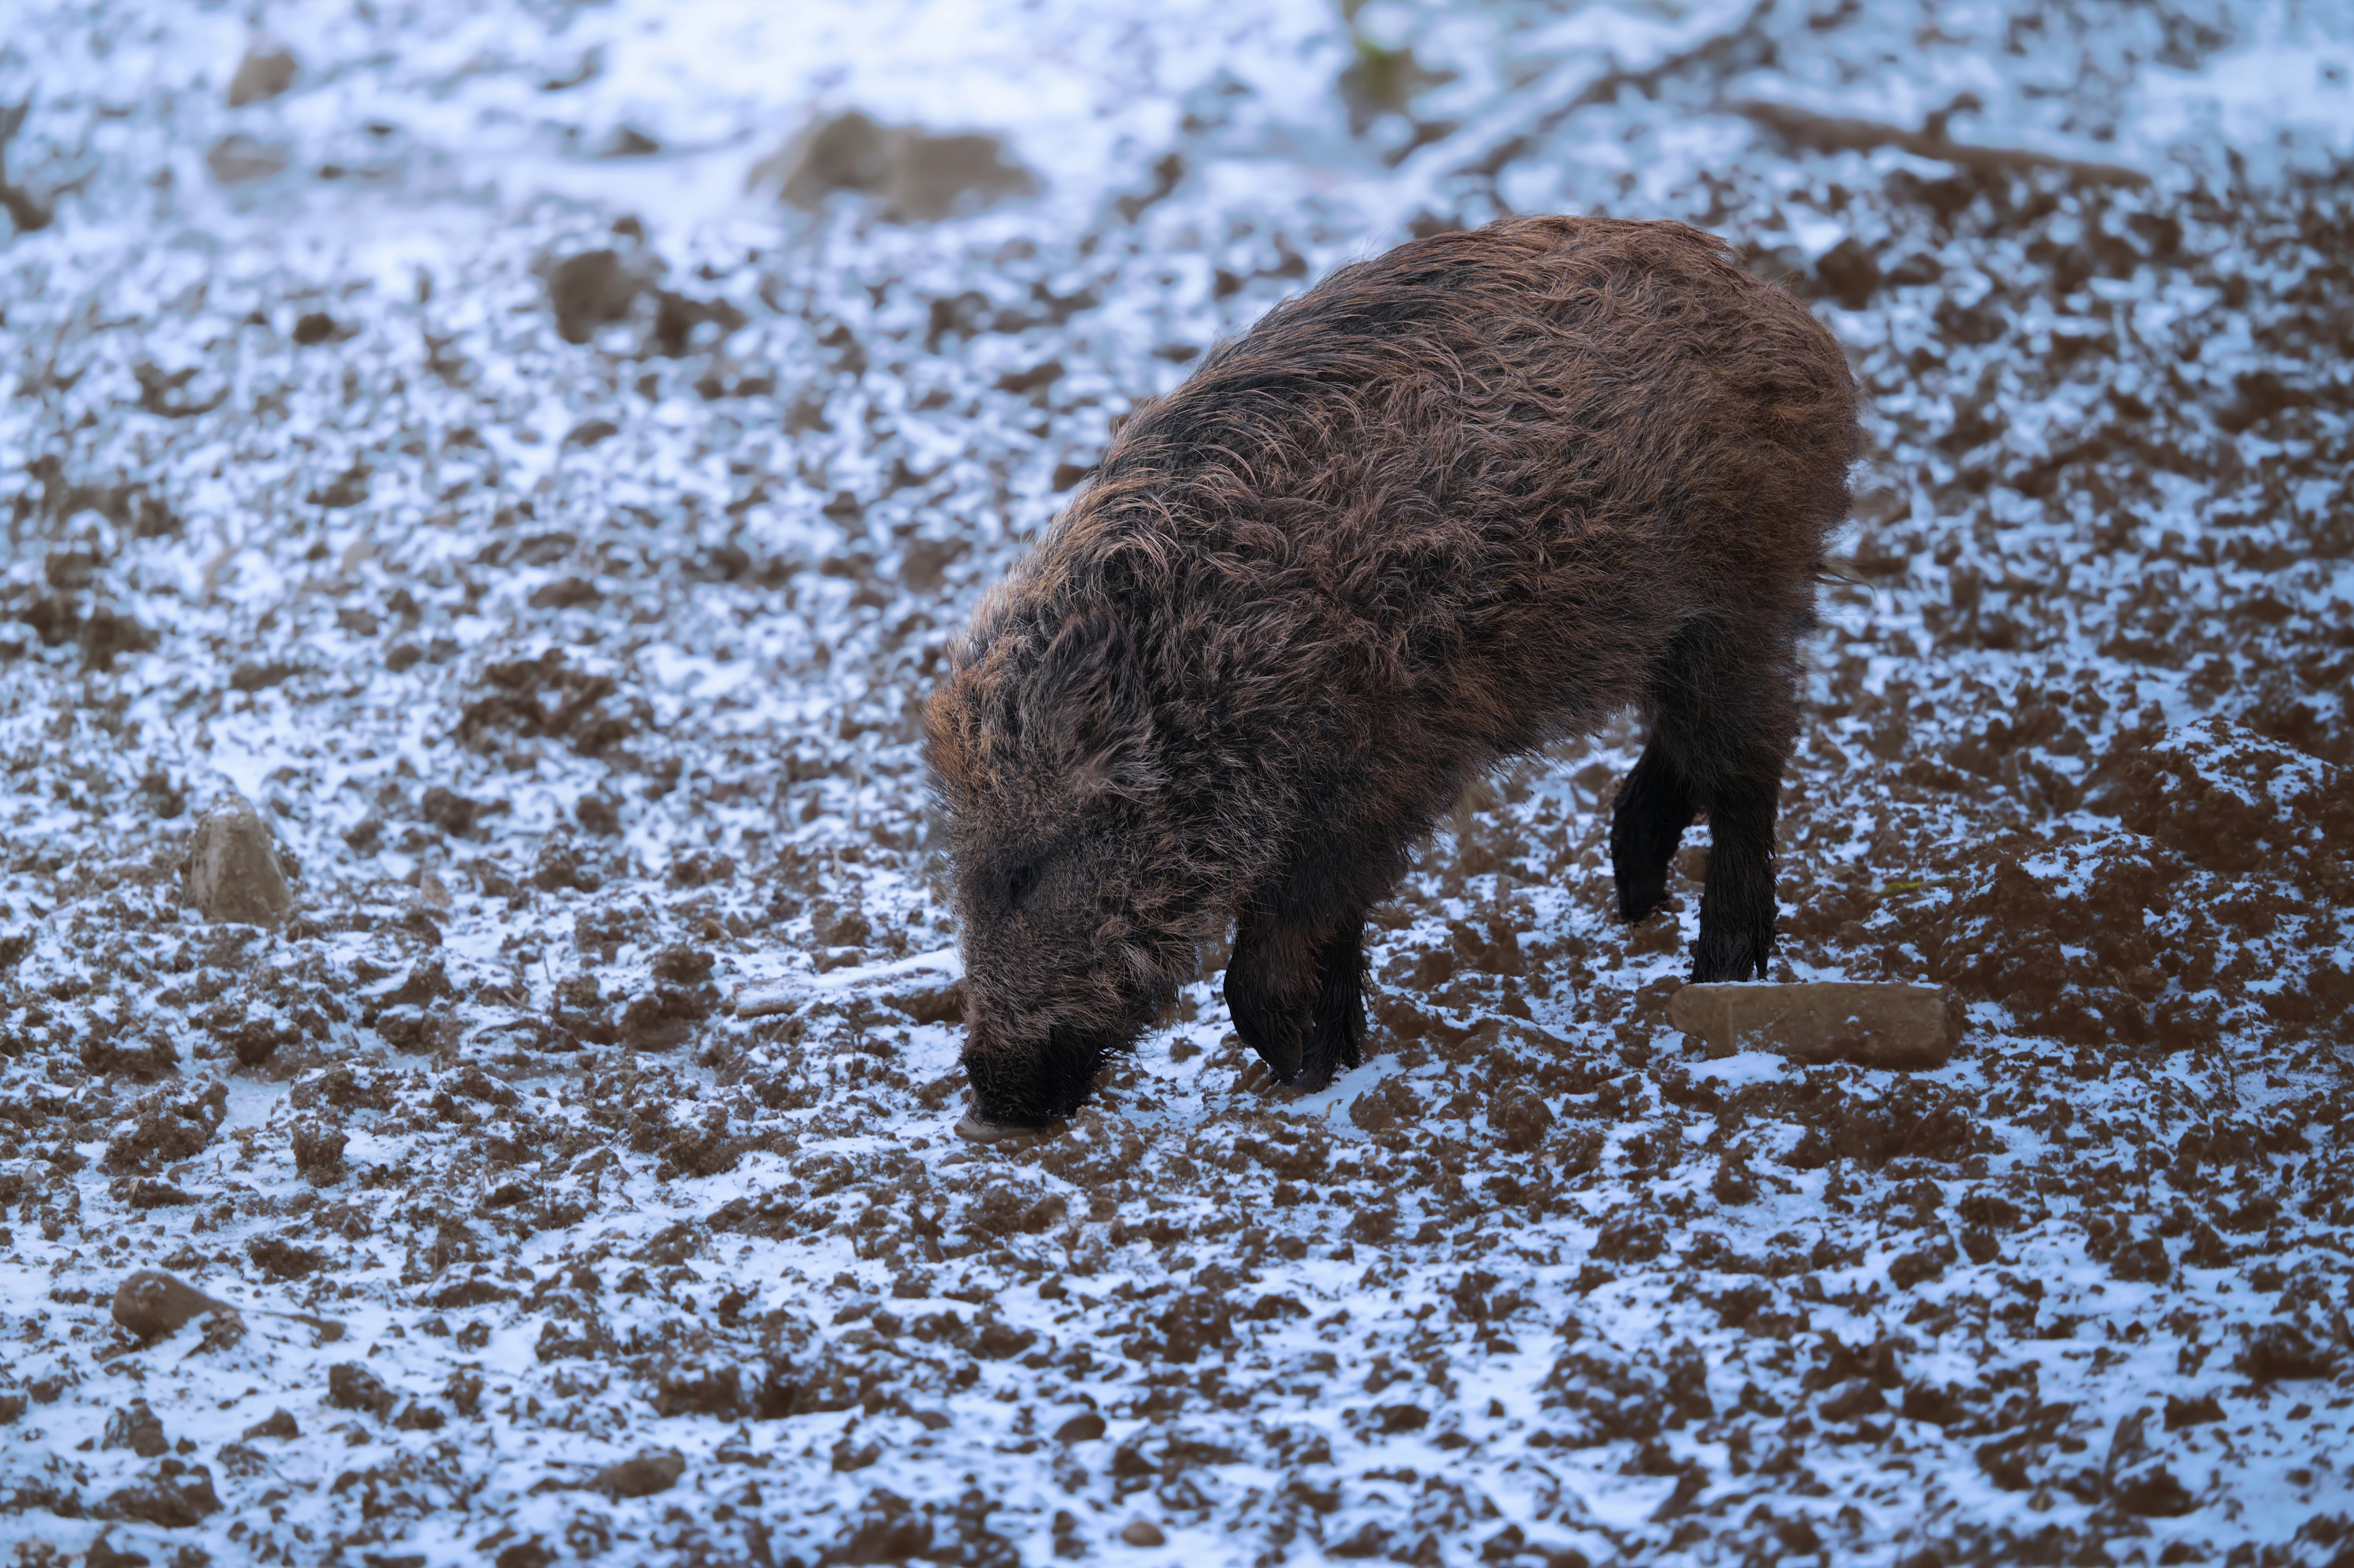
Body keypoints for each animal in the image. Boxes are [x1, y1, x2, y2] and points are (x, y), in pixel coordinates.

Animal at [924, 215, 1859, 1128]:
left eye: (1023, 873)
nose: (991, 1094)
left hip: (1741, 600)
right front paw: (1335, 1062)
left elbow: (1268, 962)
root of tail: (1793, 321)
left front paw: (1301, 1073)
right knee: (1683, 748)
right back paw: (1633, 901)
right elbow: (1327, 939)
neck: (1207, 672)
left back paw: (1718, 975)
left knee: (1747, 766)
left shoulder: (1376, 782)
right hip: (1663, 633)